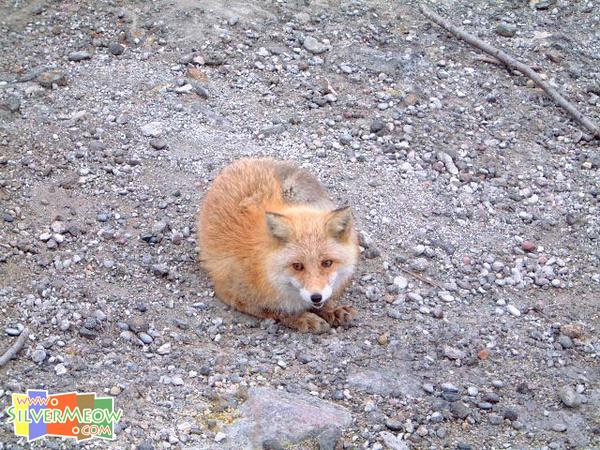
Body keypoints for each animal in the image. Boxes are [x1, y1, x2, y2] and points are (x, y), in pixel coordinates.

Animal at [197, 159, 358, 334]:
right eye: (297, 266)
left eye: (327, 263)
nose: (316, 297)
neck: (262, 267)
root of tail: (244, 160)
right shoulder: (233, 293)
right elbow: (278, 311)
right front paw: (302, 318)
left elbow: (327, 300)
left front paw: (331, 309)